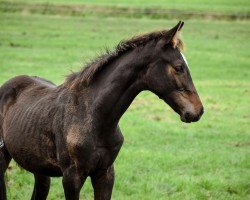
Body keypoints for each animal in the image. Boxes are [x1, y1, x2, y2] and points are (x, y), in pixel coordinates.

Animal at [0, 21, 203, 199]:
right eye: (179, 67)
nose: (198, 111)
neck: (92, 115)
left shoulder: (105, 173)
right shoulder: (71, 177)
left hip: (39, 169)